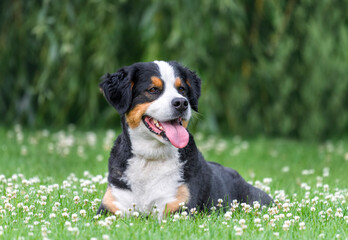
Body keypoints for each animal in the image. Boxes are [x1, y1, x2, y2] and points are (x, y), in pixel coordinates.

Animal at [96, 60, 274, 218]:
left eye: (182, 89)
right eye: (153, 89)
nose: (181, 102)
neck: (150, 159)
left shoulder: (178, 208)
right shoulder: (110, 207)